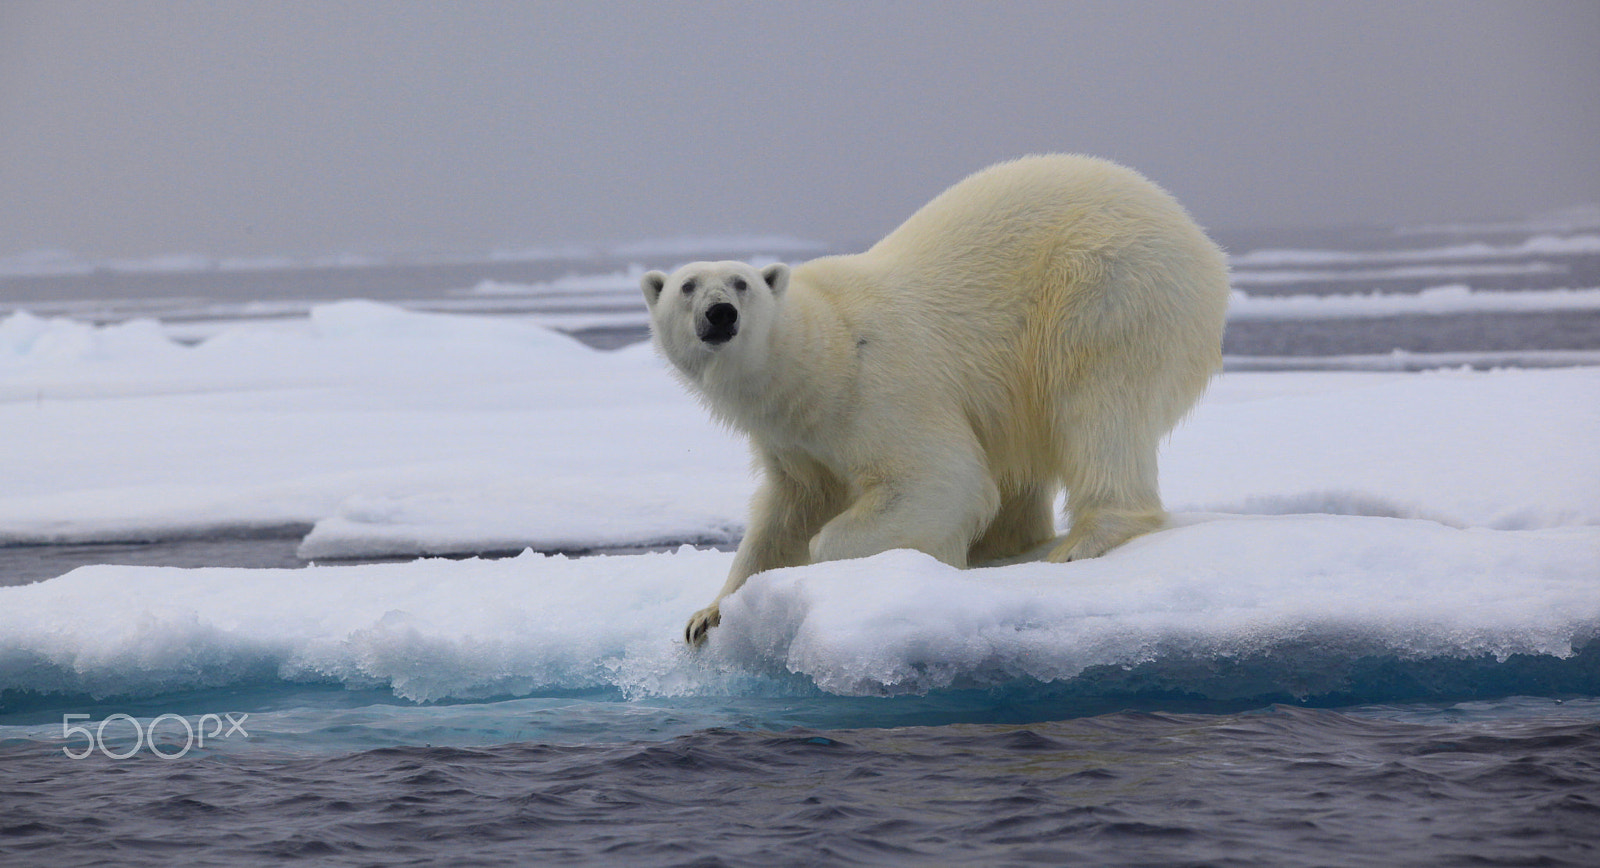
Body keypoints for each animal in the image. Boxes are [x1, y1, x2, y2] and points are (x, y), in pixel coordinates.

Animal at [641, 154, 1231, 646]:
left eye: (740, 283)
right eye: (688, 286)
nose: (720, 314)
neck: (825, 352)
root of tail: (1203, 244)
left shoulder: (878, 388)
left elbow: (941, 479)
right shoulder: (792, 440)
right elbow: (786, 513)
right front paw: (707, 615)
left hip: (1108, 287)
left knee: (1097, 404)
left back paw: (1081, 542)